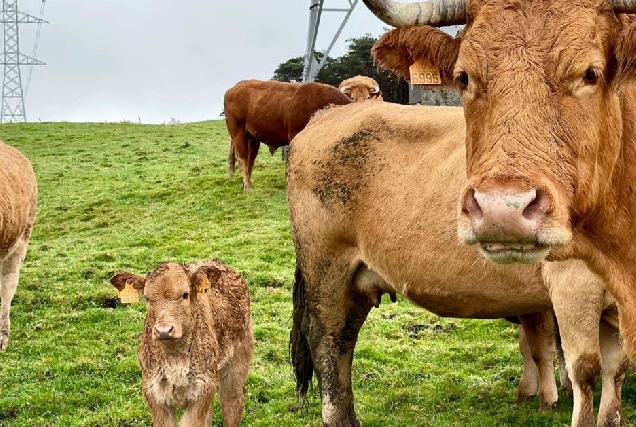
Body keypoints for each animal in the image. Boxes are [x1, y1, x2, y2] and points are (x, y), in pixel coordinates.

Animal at [112, 260, 253, 426]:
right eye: (147, 298)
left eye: (185, 294)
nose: (164, 330)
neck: (175, 358)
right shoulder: (153, 392)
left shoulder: (202, 389)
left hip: (239, 360)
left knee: (232, 404)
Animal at [224, 79, 352, 190]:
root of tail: (236, 87)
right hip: (238, 133)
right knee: (242, 158)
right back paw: (248, 186)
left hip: (253, 138)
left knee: (250, 159)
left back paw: (245, 184)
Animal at [288, 102, 632, 426]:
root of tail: (329, 113)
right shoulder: (573, 285)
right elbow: (586, 369)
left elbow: (616, 368)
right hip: (326, 265)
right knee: (325, 337)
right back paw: (337, 417)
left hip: (357, 279)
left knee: (346, 338)